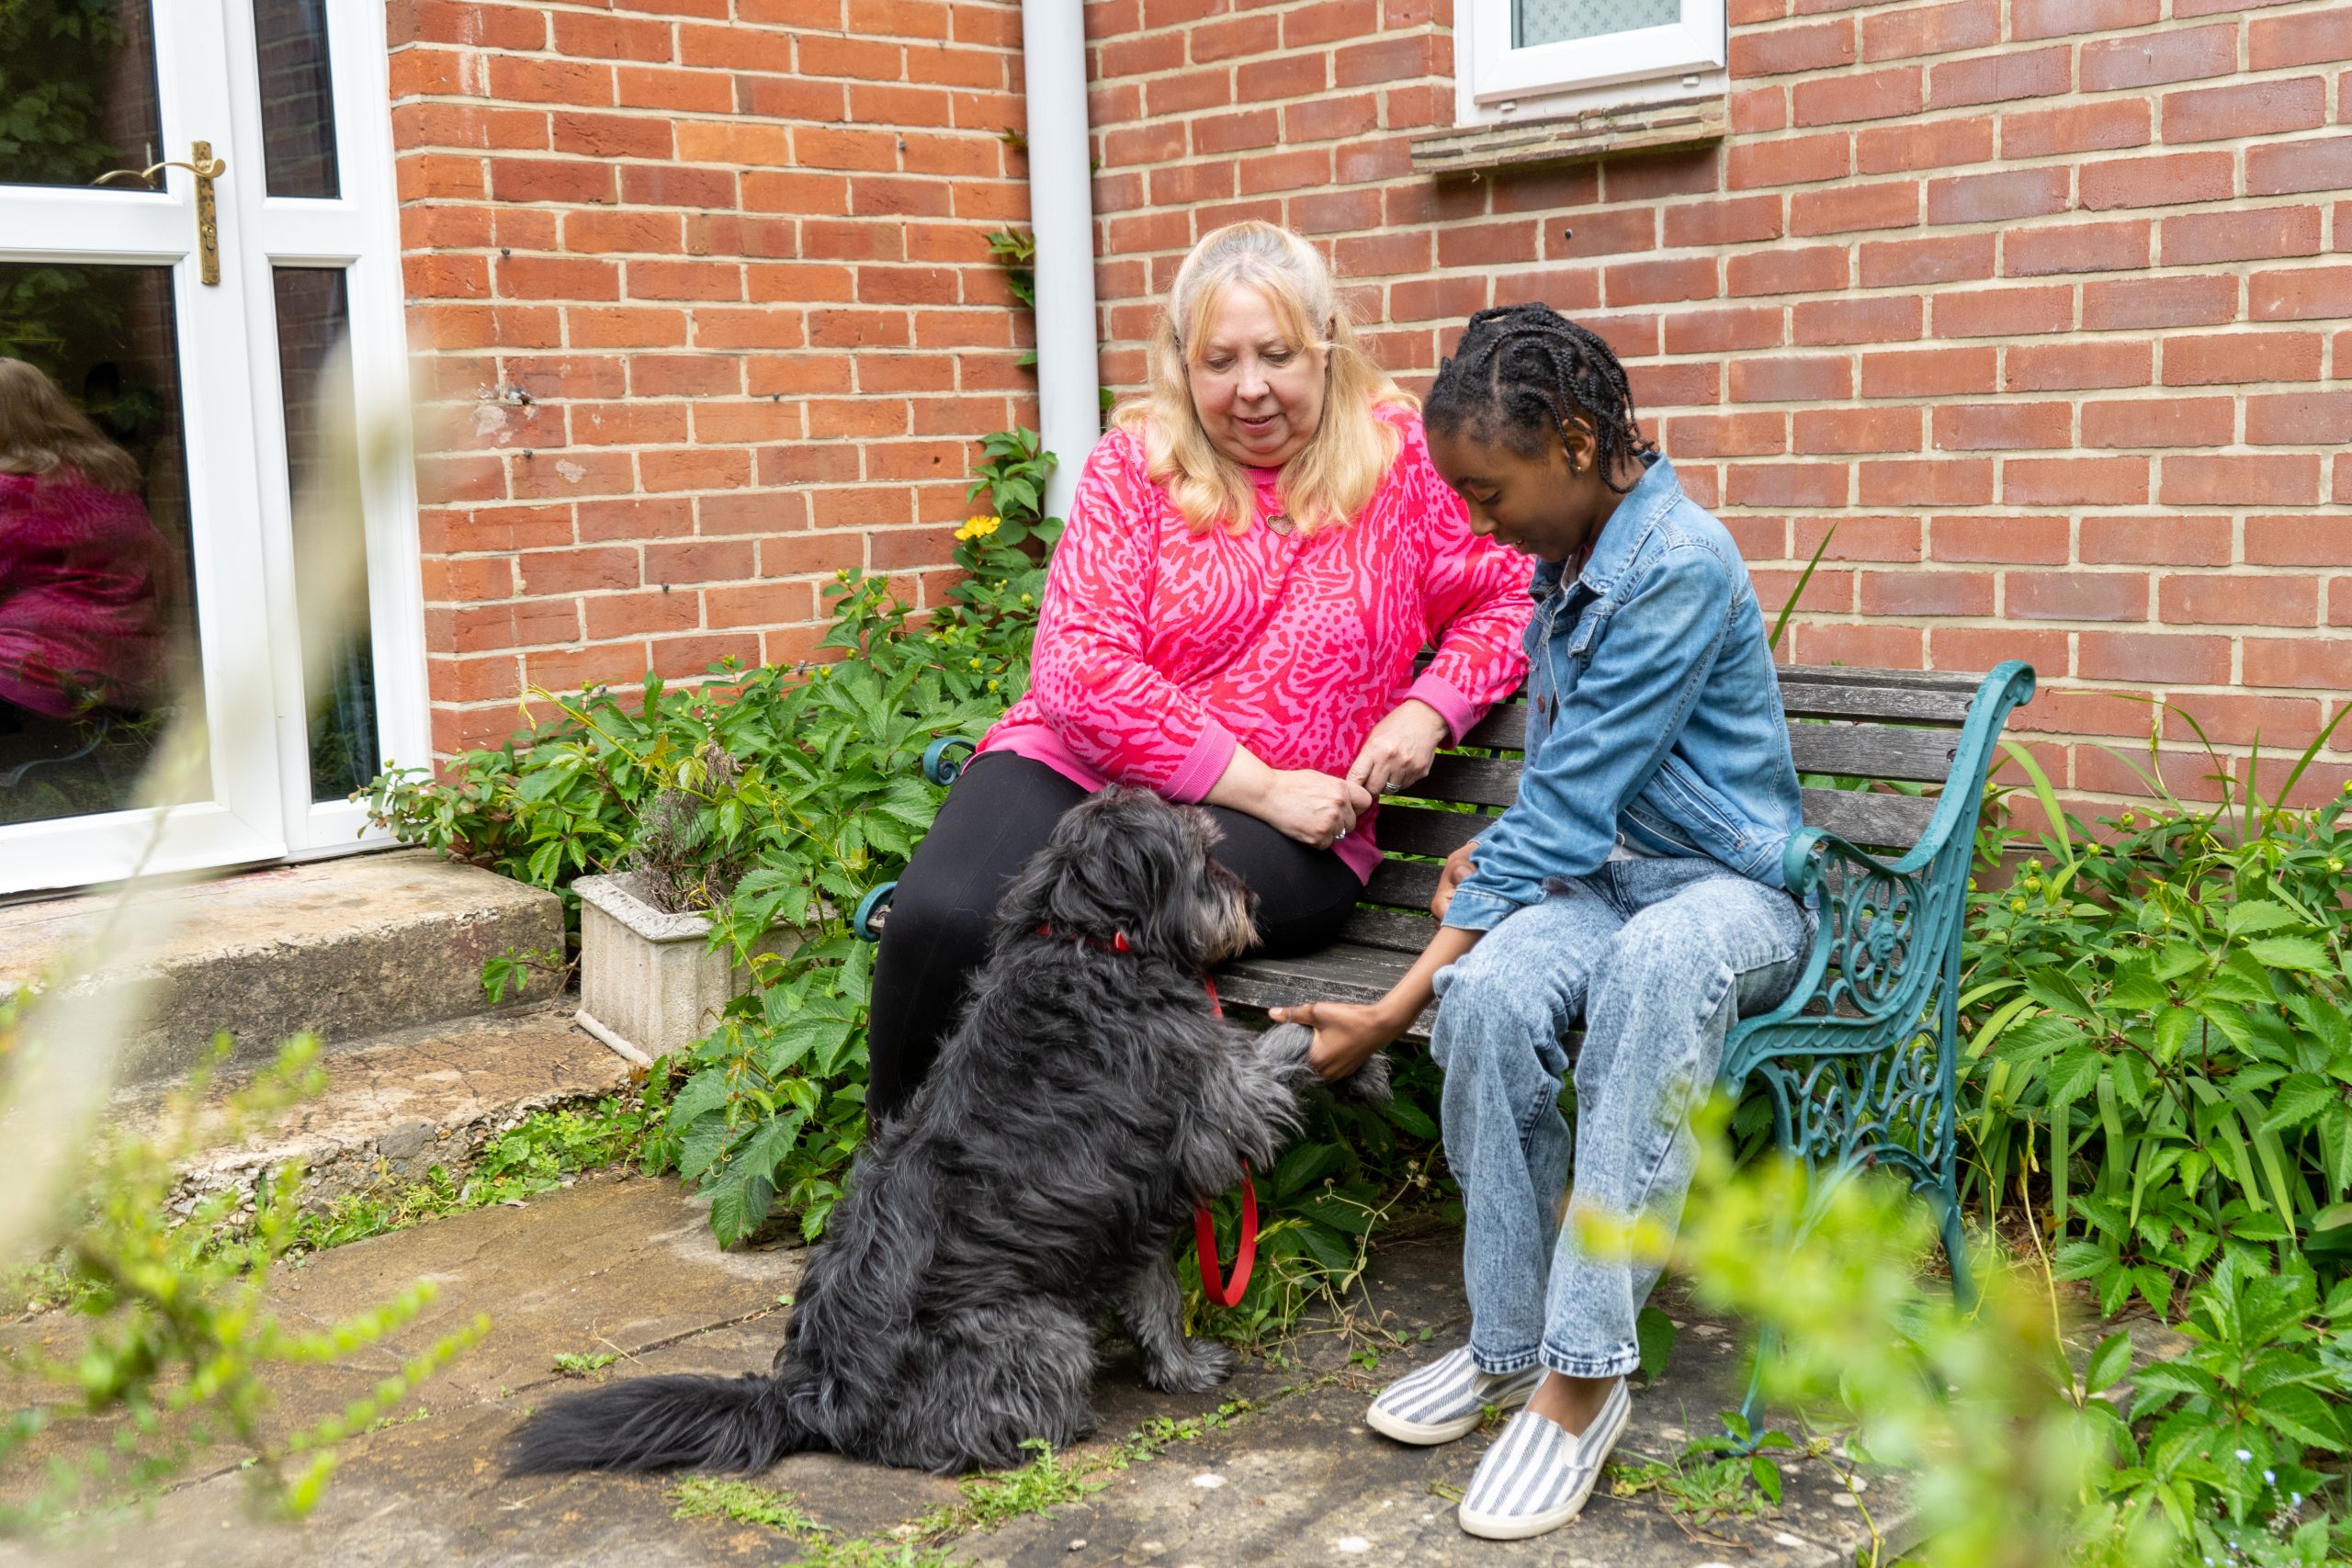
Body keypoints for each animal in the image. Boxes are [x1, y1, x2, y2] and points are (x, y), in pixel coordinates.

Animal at [517, 789, 1383, 1476]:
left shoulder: (1128, 1203)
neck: (1091, 944)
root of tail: (811, 1395)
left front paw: (1178, 1366)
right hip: (1043, 1331)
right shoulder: (1212, 1108)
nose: (1248, 900)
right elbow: (1275, 1055)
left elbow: (1156, 1297)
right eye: (1203, 855)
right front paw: (1355, 1049)